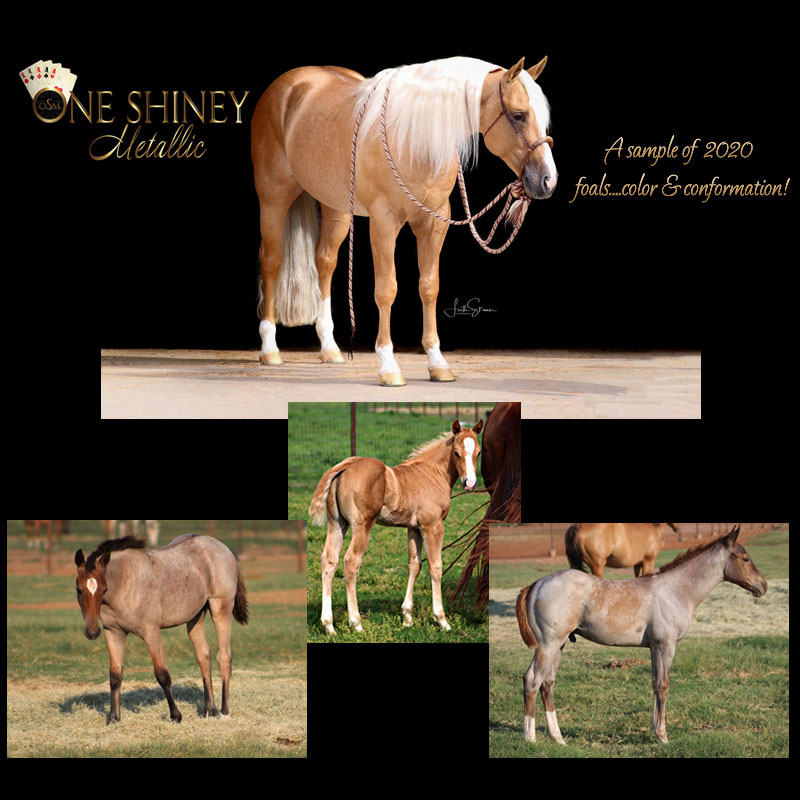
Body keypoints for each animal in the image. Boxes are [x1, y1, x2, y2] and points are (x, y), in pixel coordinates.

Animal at [74, 535, 249, 723]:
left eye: (104, 589)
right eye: (79, 590)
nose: (92, 632)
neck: (126, 582)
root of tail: (224, 548)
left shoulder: (151, 632)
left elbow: (162, 674)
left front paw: (176, 716)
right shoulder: (113, 632)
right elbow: (115, 676)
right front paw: (114, 718)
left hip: (220, 610)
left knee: (223, 657)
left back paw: (224, 712)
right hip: (195, 617)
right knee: (204, 657)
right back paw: (210, 710)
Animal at [251, 56, 556, 385]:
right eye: (519, 115)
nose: (548, 181)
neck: (415, 140)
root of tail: (288, 85)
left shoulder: (434, 223)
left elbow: (429, 286)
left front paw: (437, 363)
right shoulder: (384, 222)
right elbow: (387, 289)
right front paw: (388, 365)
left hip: (336, 207)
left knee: (325, 262)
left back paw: (330, 348)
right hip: (273, 197)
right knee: (271, 261)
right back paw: (270, 348)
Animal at [309, 419, 483, 634]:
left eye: (478, 452)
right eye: (457, 453)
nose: (470, 483)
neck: (433, 473)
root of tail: (344, 467)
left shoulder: (414, 528)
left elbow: (414, 564)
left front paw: (407, 618)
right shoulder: (432, 526)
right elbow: (435, 566)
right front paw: (442, 621)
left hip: (337, 524)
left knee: (329, 561)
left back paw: (329, 626)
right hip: (361, 525)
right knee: (350, 562)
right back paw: (356, 623)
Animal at [515, 526, 767, 744]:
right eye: (745, 558)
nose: (762, 586)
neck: (676, 590)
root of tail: (537, 584)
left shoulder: (655, 647)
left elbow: (655, 683)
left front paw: (656, 730)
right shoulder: (665, 646)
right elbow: (663, 686)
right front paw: (663, 736)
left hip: (558, 646)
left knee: (548, 684)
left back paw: (559, 739)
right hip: (548, 645)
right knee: (532, 681)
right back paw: (530, 738)